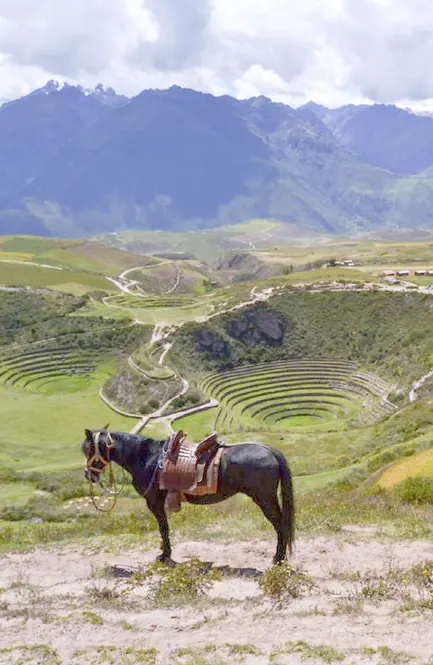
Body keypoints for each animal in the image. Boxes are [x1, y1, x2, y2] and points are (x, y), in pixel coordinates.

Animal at [82, 428, 294, 564]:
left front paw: (165, 555)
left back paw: (278, 558)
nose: (89, 475)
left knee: (279, 524)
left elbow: (163, 528)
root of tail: (270, 451)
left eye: (90, 449)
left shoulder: (154, 502)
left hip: (264, 499)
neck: (147, 457)